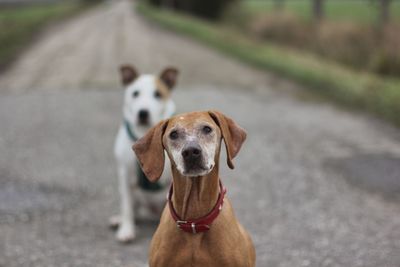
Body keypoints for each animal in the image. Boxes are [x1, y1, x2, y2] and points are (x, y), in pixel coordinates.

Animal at [110, 65, 177, 243]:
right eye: (135, 93)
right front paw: (126, 230)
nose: (143, 113)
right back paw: (119, 220)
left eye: (158, 94)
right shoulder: (125, 175)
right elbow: (126, 207)